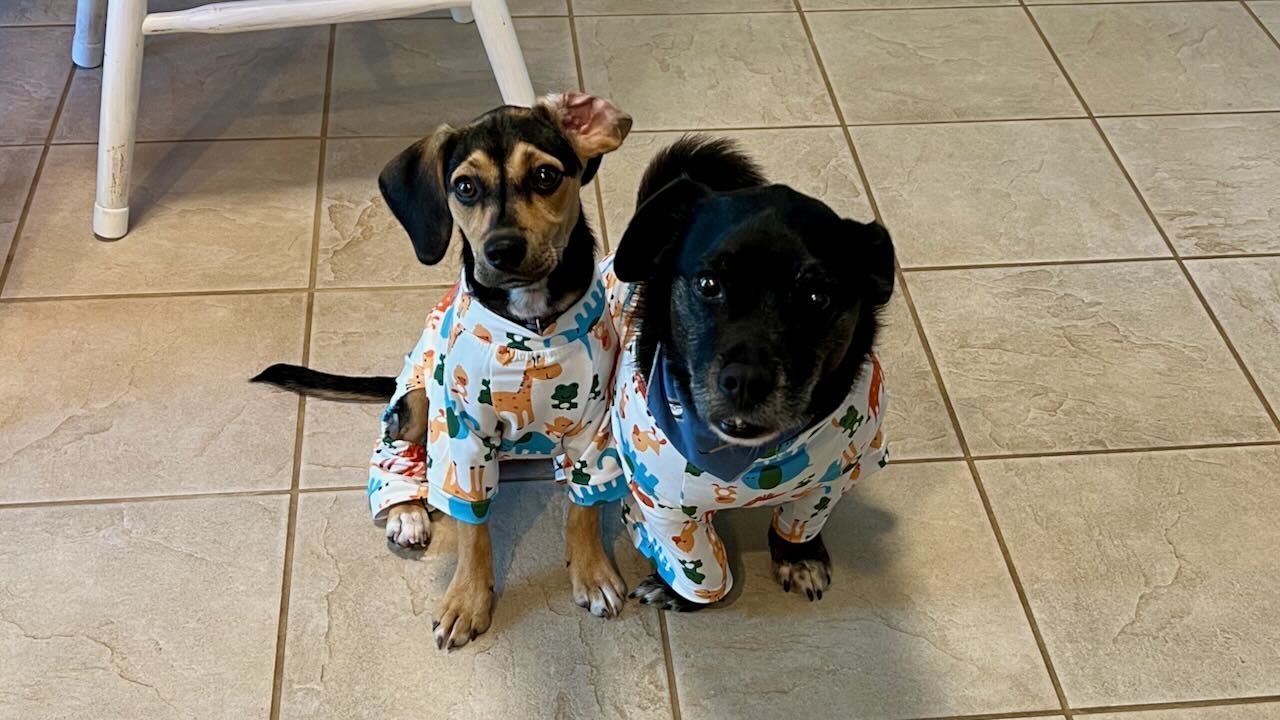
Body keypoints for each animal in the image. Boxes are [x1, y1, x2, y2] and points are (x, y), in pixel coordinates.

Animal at [258, 92, 634, 648]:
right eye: (465, 187)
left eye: (546, 176)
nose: (502, 249)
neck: (531, 327)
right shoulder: (462, 436)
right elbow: (473, 528)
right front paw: (467, 601)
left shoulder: (594, 428)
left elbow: (584, 508)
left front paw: (591, 573)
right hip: (416, 399)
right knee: (395, 449)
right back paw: (407, 510)